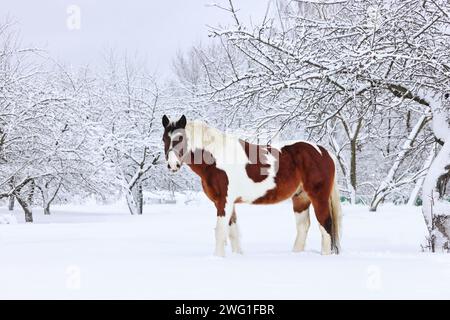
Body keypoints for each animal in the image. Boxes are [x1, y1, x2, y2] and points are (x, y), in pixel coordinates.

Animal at [162, 114, 342, 256]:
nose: (172, 165)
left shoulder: (224, 202)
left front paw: (218, 258)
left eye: (180, 139)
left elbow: (220, 231)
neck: (216, 158)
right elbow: (233, 232)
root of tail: (324, 152)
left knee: (325, 225)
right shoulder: (226, 203)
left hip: (318, 197)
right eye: (165, 139)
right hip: (300, 199)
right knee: (303, 226)